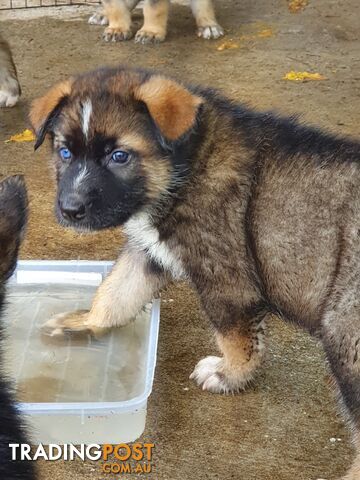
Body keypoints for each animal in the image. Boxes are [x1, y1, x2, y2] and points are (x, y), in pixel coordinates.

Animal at [30, 67, 360, 480]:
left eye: (120, 156)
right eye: (65, 152)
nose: (70, 209)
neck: (184, 167)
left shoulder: (225, 279)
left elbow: (235, 339)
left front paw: (229, 375)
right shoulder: (150, 251)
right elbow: (116, 292)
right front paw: (84, 321)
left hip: (347, 335)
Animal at [88, 0, 224, 43]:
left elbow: (154, 7)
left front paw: (150, 32)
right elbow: (114, 5)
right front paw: (117, 29)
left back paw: (208, 25)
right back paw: (102, 15)